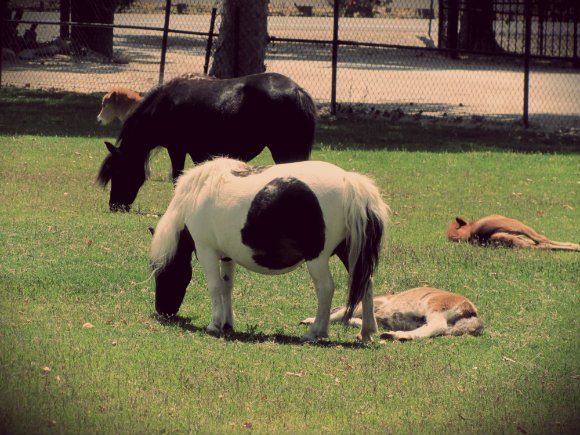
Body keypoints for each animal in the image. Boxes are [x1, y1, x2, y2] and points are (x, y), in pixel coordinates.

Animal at [95, 72, 314, 212]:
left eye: (118, 172)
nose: (115, 206)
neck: (165, 105)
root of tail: (297, 91)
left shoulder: (177, 149)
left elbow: (178, 177)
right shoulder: (198, 153)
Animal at [152, 158, 392, 344]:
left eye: (163, 273)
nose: (163, 312)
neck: (197, 194)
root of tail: (349, 180)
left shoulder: (206, 251)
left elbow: (215, 287)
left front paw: (215, 324)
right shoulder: (227, 257)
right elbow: (227, 286)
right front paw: (228, 323)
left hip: (318, 258)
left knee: (325, 288)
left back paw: (316, 332)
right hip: (350, 253)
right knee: (366, 284)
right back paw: (367, 332)